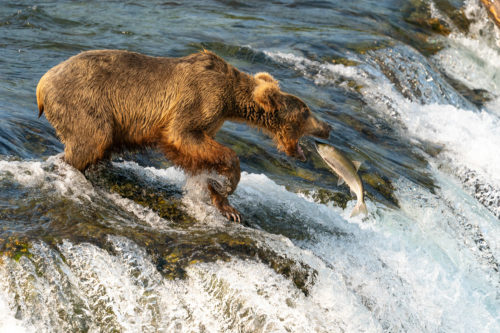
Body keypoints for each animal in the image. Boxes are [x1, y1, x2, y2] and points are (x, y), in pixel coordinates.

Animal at [37, 49, 330, 220]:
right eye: (305, 111)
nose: (328, 127)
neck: (231, 101)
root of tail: (42, 83)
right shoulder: (199, 99)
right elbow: (183, 135)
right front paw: (228, 184)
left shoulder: (212, 120)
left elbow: (198, 153)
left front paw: (223, 201)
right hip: (84, 101)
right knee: (92, 139)